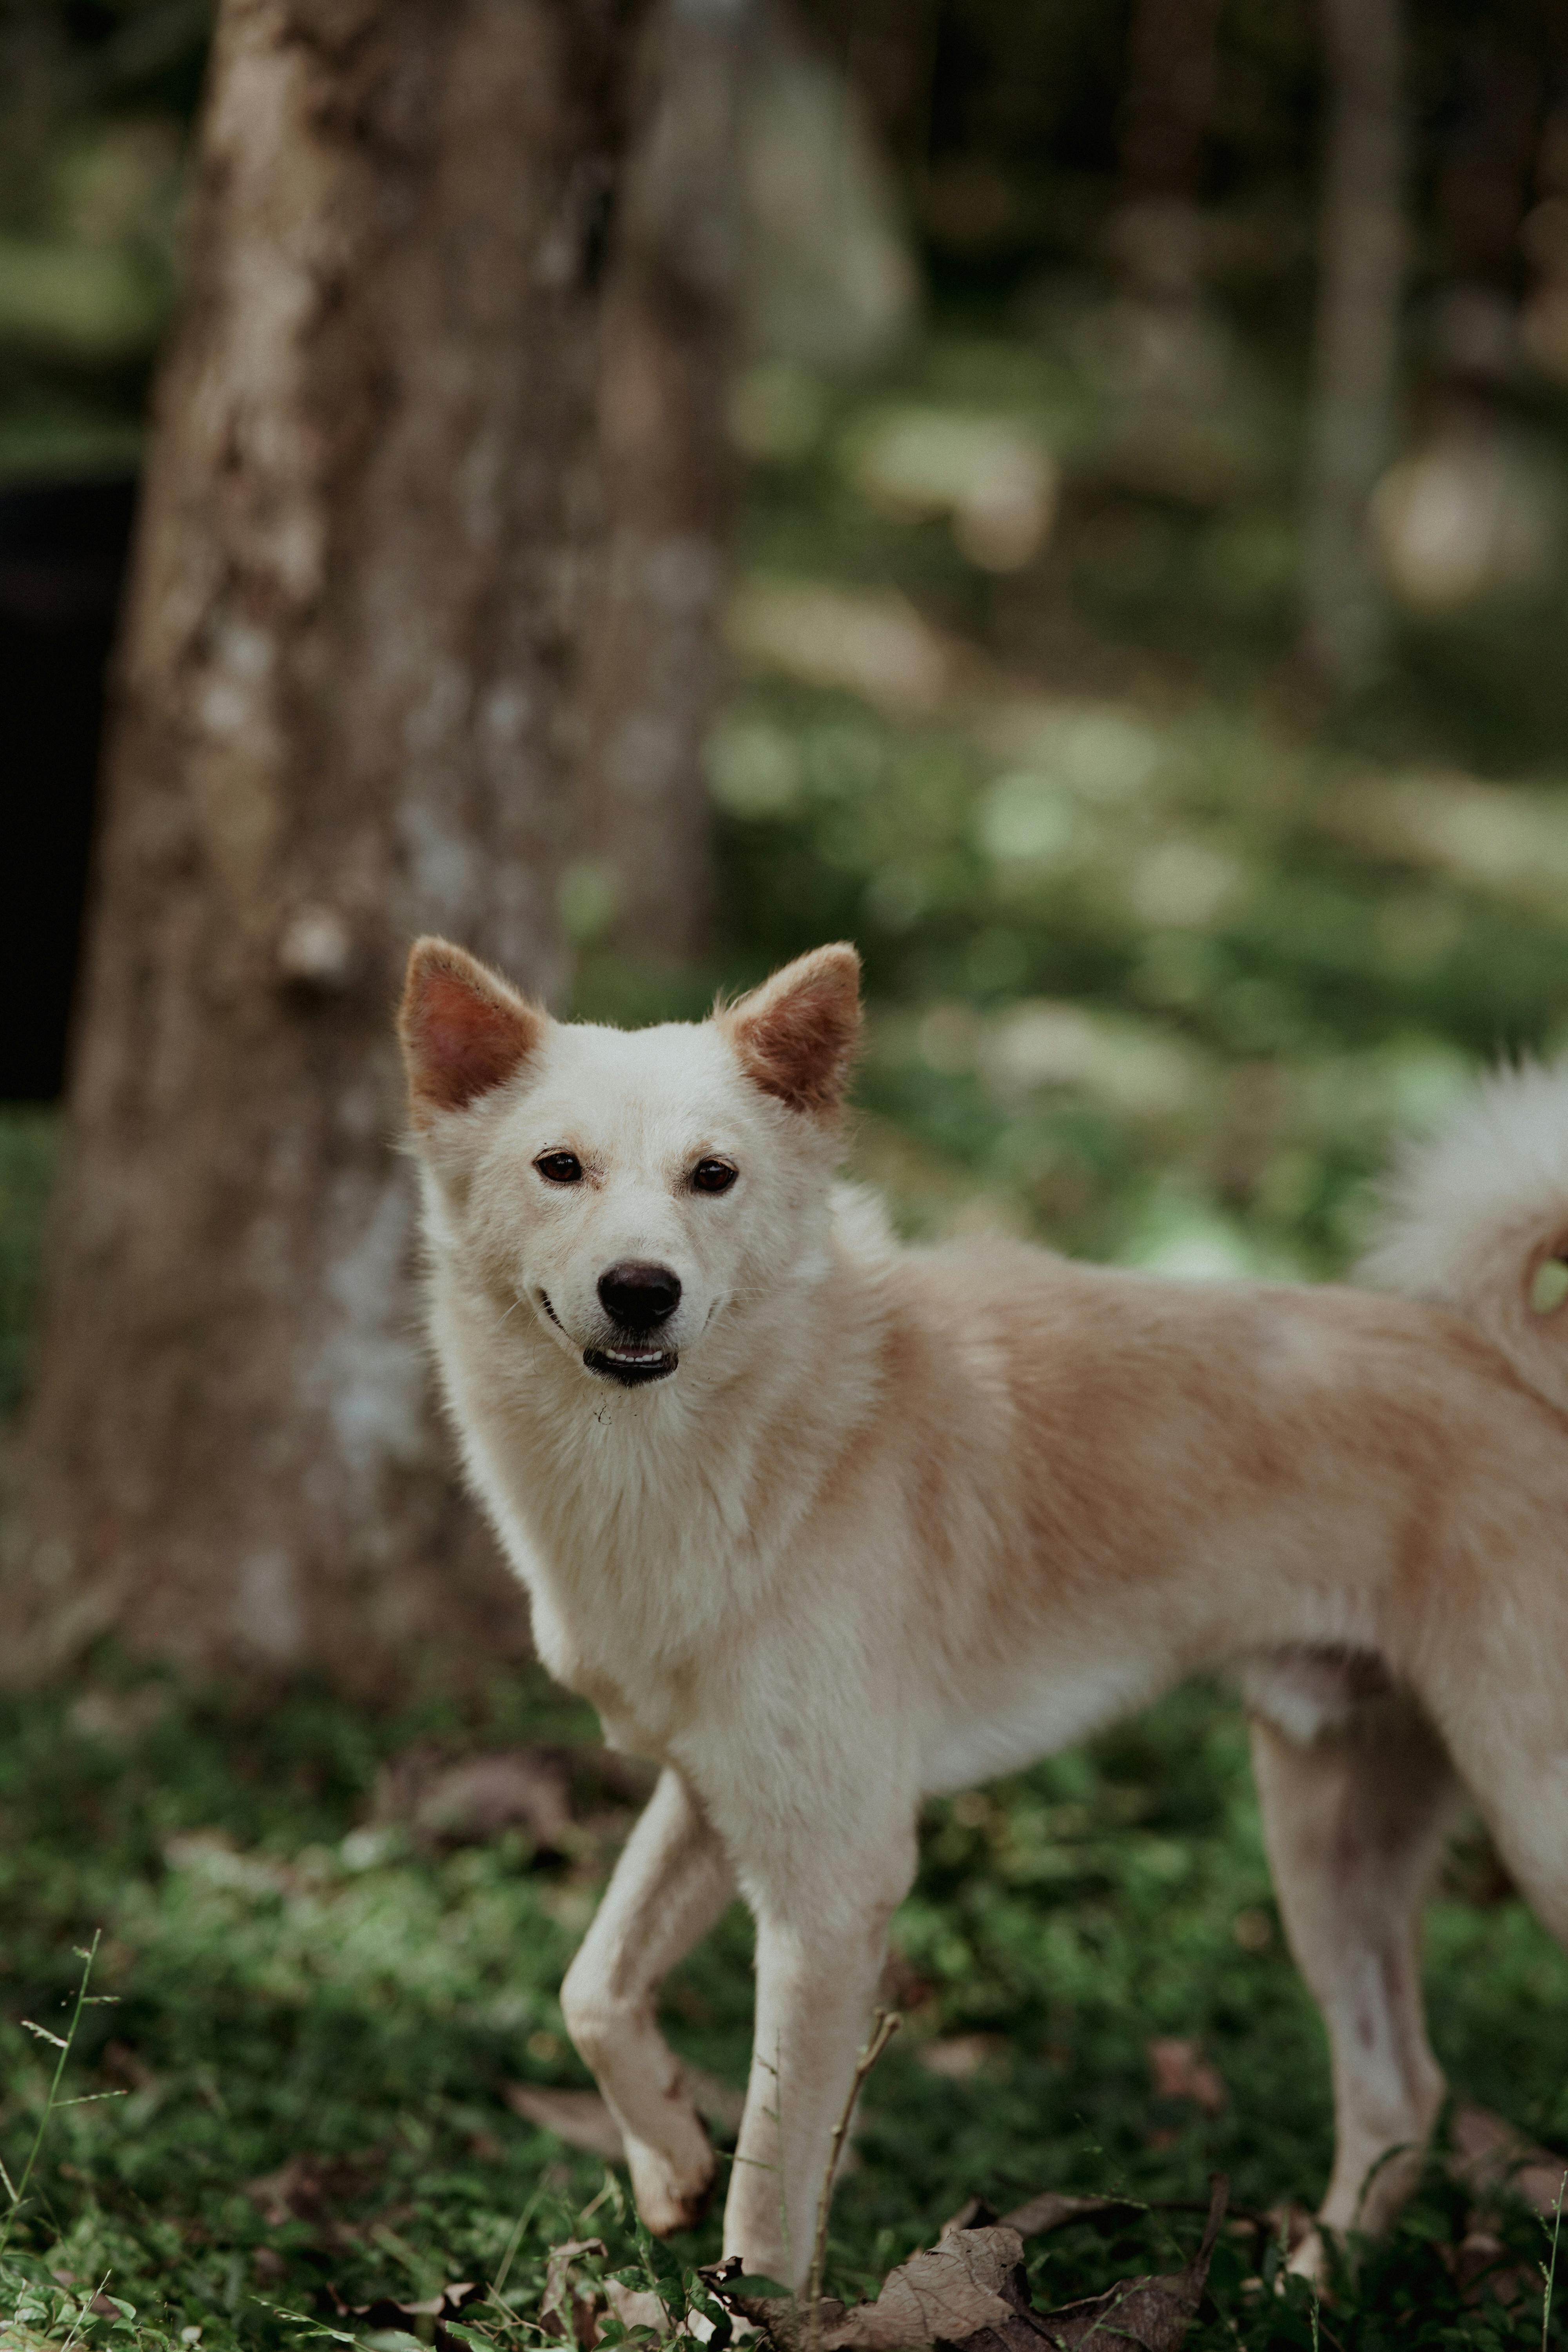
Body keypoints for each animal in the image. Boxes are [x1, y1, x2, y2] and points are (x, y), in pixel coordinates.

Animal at [395, 931, 1568, 2277]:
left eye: (713, 1177)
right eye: (559, 1168)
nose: (643, 1292)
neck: (751, 1434)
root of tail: (1520, 1375)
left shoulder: (837, 1875)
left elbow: (773, 2189)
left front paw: (747, 2300)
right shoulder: (720, 1788)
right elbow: (591, 1989)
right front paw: (670, 2158)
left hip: (1531, 1820)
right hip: (1332, 1838)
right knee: (1399, 2093)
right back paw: (1308, 2286)